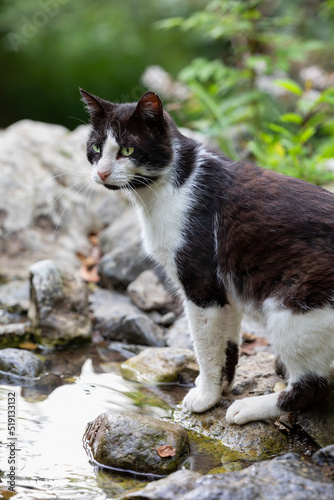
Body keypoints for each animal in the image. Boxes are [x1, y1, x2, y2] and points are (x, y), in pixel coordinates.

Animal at [80, 88, 334, 424]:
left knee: (314, 387)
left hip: (294, 304)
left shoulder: (201, 284)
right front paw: (221, 387)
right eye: (96, 148)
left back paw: (251, 408)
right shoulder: (226, 286)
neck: (171, 185)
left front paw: (206, 397)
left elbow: (205, 346)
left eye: (127, 149)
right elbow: (227, 344)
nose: (102, 172)